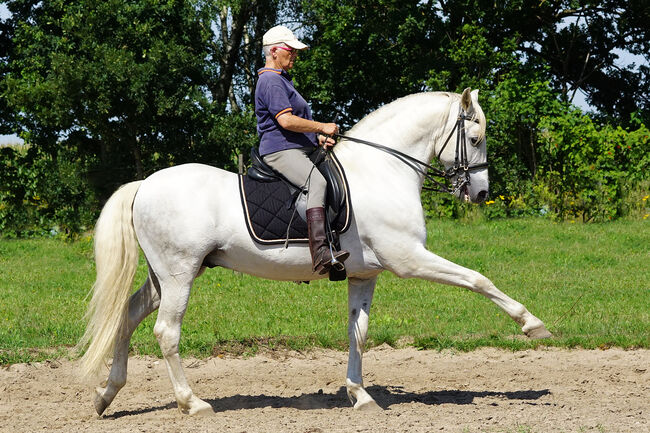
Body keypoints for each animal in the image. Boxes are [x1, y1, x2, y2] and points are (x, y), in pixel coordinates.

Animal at [78, 88, 548, 416]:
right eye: (476, 137)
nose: (481, 193)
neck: (383, 170)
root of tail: (145, 185)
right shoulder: (409, 259)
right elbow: (478, 278)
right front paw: (532, 324)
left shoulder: (364, 275)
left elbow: (358, 333)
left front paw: (360, 395)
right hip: (179, 274)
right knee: (166, 332)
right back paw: (193, 404)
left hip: (164, 277)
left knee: (128, 317)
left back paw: (105, 395)